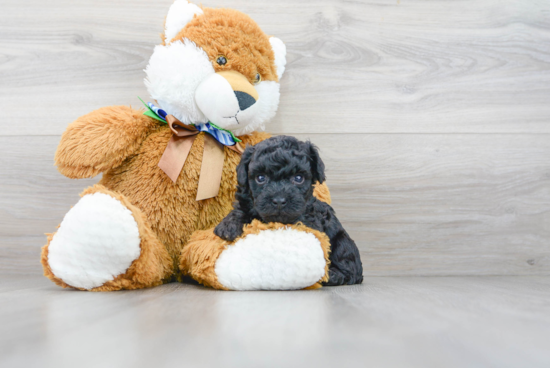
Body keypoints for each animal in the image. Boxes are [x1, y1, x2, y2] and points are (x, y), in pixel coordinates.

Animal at [217, 134, 366, 284]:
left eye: (298, 178)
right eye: (260, 178)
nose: (279, 200)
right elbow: (241, 209)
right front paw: (229, 225)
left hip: (343, 242)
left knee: (350, 269)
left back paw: (333, 276)